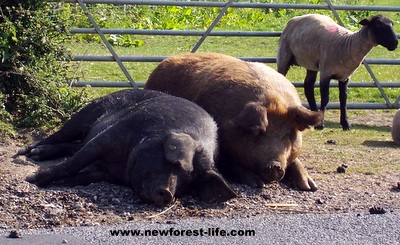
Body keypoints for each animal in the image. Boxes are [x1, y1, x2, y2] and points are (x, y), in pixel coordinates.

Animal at [145, 52, 324, 191]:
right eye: (259, 132)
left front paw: (310, 187)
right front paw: (256, 183)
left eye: (289, 134)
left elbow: (296, 162)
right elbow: (231, 165)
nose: (275, 165)